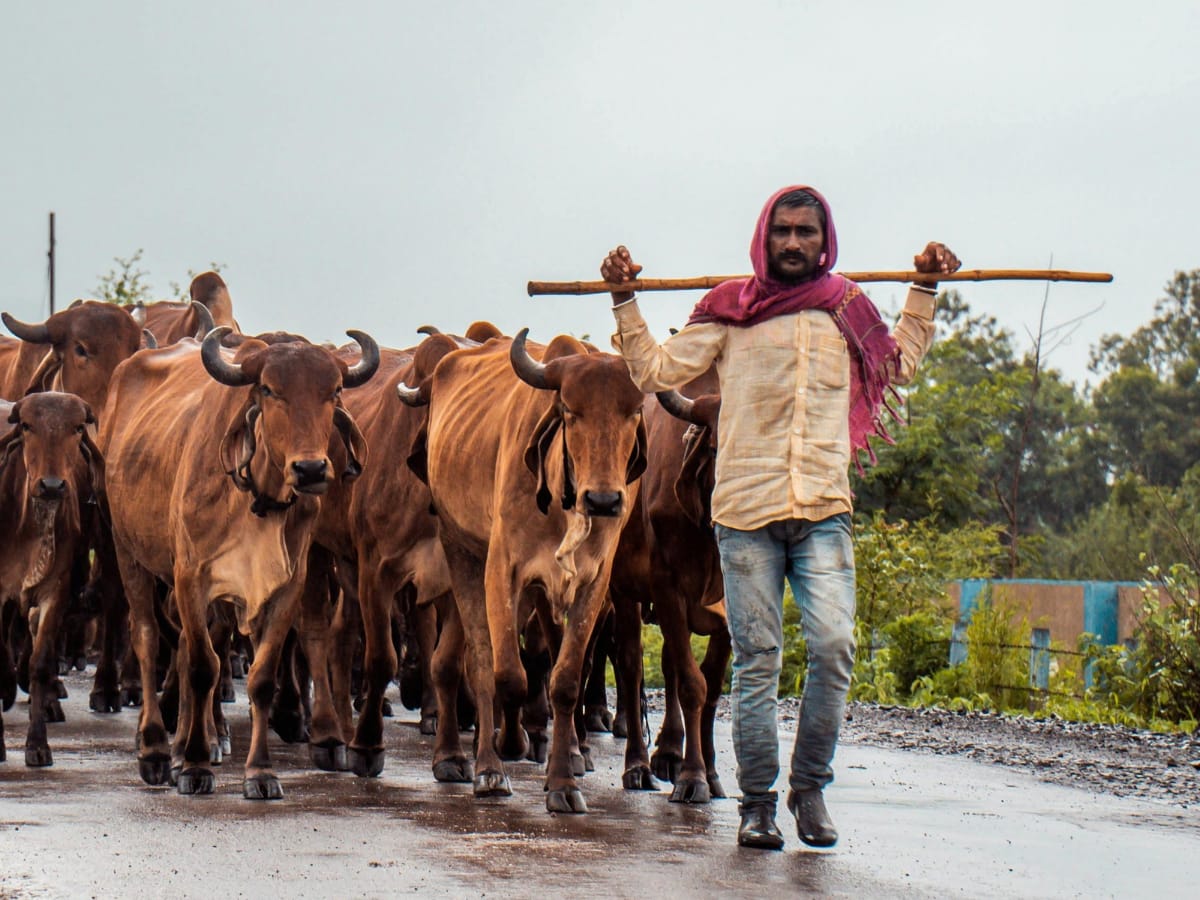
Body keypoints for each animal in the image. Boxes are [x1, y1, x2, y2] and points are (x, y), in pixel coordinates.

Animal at [0, 391, 104, 763]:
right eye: (28, 425)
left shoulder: (54, 592)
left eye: (77, 428)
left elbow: (41, 663)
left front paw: (37, 744)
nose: (52, 485)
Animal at [101, 328, 376, 801]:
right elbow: (201, 667)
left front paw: (259, 771)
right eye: (268, 389)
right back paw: (156, 750)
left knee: (185, 646)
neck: (258, 501)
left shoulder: (287, 586)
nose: (309, 468)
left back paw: (185, 744)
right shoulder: (190, 577)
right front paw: (194, 766)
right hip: (127, 550)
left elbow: (261, 677)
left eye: (335, 391)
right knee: (148, 640)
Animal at [403, 328, 648, 816]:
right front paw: (506, 749)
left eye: (633, 412)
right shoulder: (504, 571)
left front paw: (562, 782)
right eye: (569, 411)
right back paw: (473, 763)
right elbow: (507, 677)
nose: (604, 500)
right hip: (462, 552)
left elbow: (565, 681)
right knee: (475, 662)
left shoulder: (592, 584)